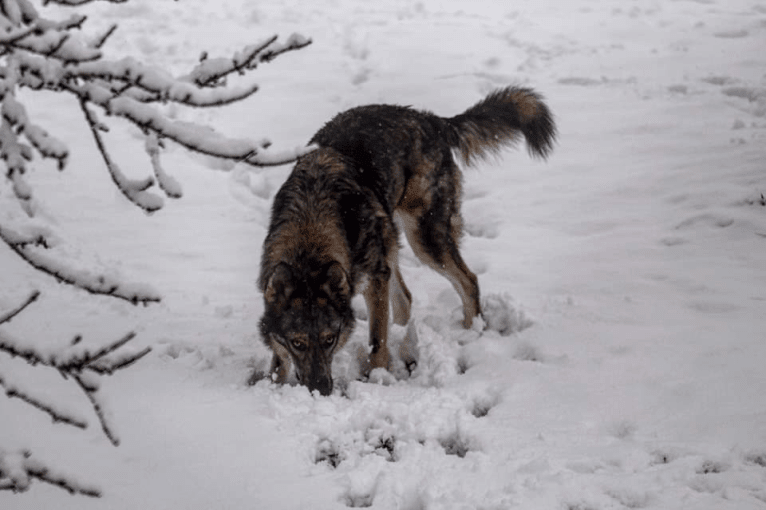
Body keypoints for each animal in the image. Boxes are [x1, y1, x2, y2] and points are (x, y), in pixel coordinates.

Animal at [255, 85, 556, 394]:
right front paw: (271, 384)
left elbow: (377, 340)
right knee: (407, 299)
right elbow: (278, 356)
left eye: (330, 339)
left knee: (468, 281)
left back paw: (471, 333)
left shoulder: (375, 279)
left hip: (423, 241)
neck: (311, 225)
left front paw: (377, 378)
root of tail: (432, 120)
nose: (321, 390)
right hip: (392, 241)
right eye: (298, 342)